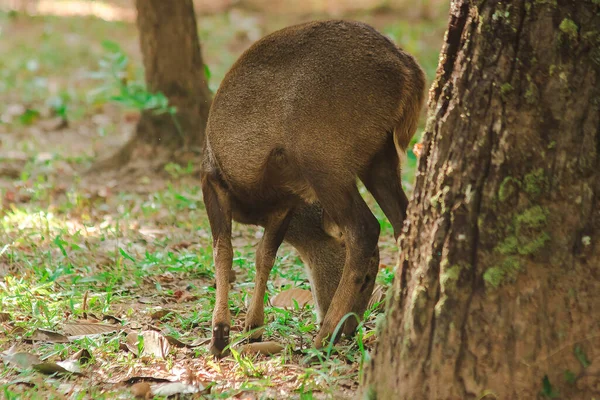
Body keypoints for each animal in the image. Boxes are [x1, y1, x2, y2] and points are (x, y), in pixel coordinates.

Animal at [203, 19, 426, 356]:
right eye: (369, 279)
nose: (353, 328)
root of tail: (409, 71)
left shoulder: (212, 178)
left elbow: (224, 252)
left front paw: (220, 334)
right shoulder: (285, 203)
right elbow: (263, 255)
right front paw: (253, 326)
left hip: (325, 158)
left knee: (365, 228)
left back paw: (323, 338)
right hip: (379, 158)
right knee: (403, 221)